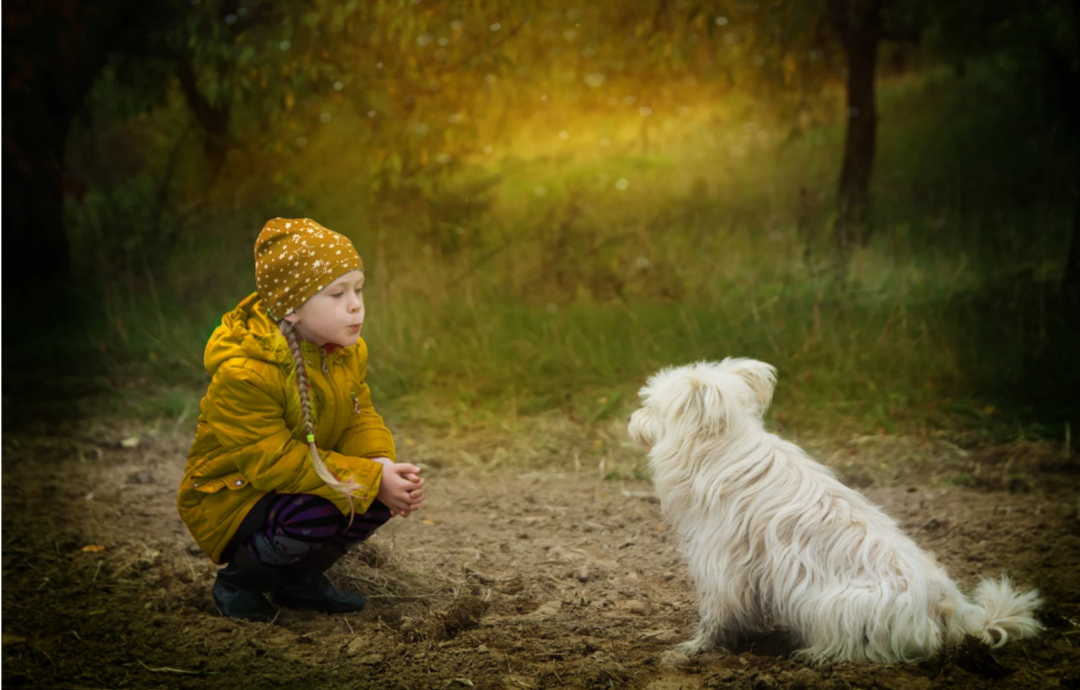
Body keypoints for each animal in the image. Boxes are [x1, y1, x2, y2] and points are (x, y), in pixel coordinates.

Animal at [630, 356, 1041, 665]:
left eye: (651, 406)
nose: (631, 420)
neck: (722, 452)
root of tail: (954, 613)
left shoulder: (723, 568)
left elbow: (715, 616)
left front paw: (695, 648)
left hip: (832, 603)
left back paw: (815, 655)